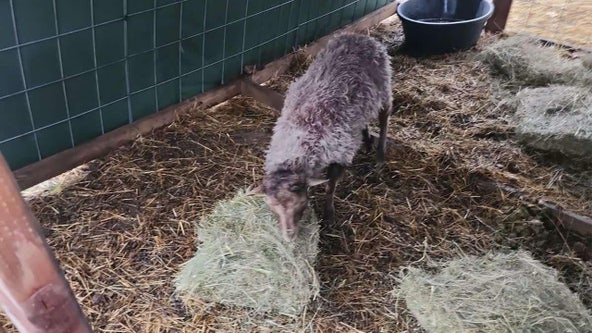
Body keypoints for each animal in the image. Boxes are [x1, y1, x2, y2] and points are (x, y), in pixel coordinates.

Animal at [250, 32, 394, 240]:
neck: (301, 133)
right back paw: (366, 142)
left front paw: (329, 215)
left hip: (384, 87)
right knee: (364, 121)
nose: (289, 236)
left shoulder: (340, 154)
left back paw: (380, 159)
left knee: (384, 120)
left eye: (300, 202)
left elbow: (330, 186)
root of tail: (360, 36)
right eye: (272, 207)